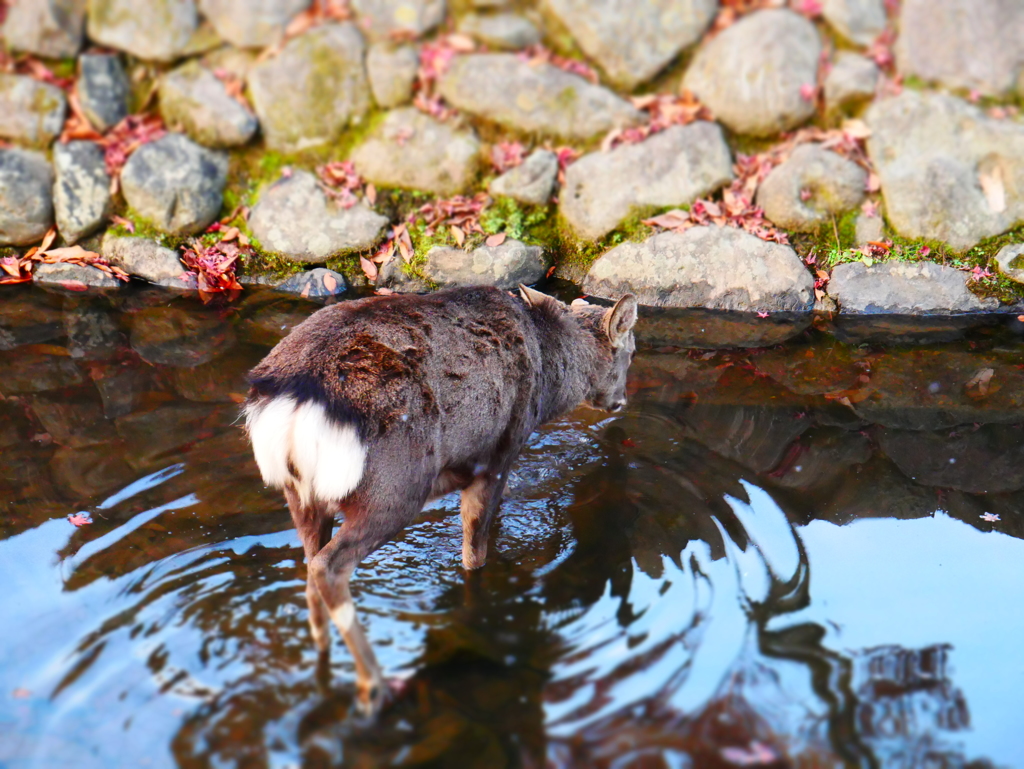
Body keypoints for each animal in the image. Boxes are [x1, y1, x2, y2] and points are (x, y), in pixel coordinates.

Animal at [243, 284, 638, 714]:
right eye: (632, 351)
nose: (621, 400)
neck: (549, 384)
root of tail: (294, 405)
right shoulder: (497, 455)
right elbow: (474, 551)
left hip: (301, 494)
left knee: (310, 562)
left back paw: (322, 651)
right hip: (394, 489)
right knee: (328, 566)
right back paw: (374, 684)